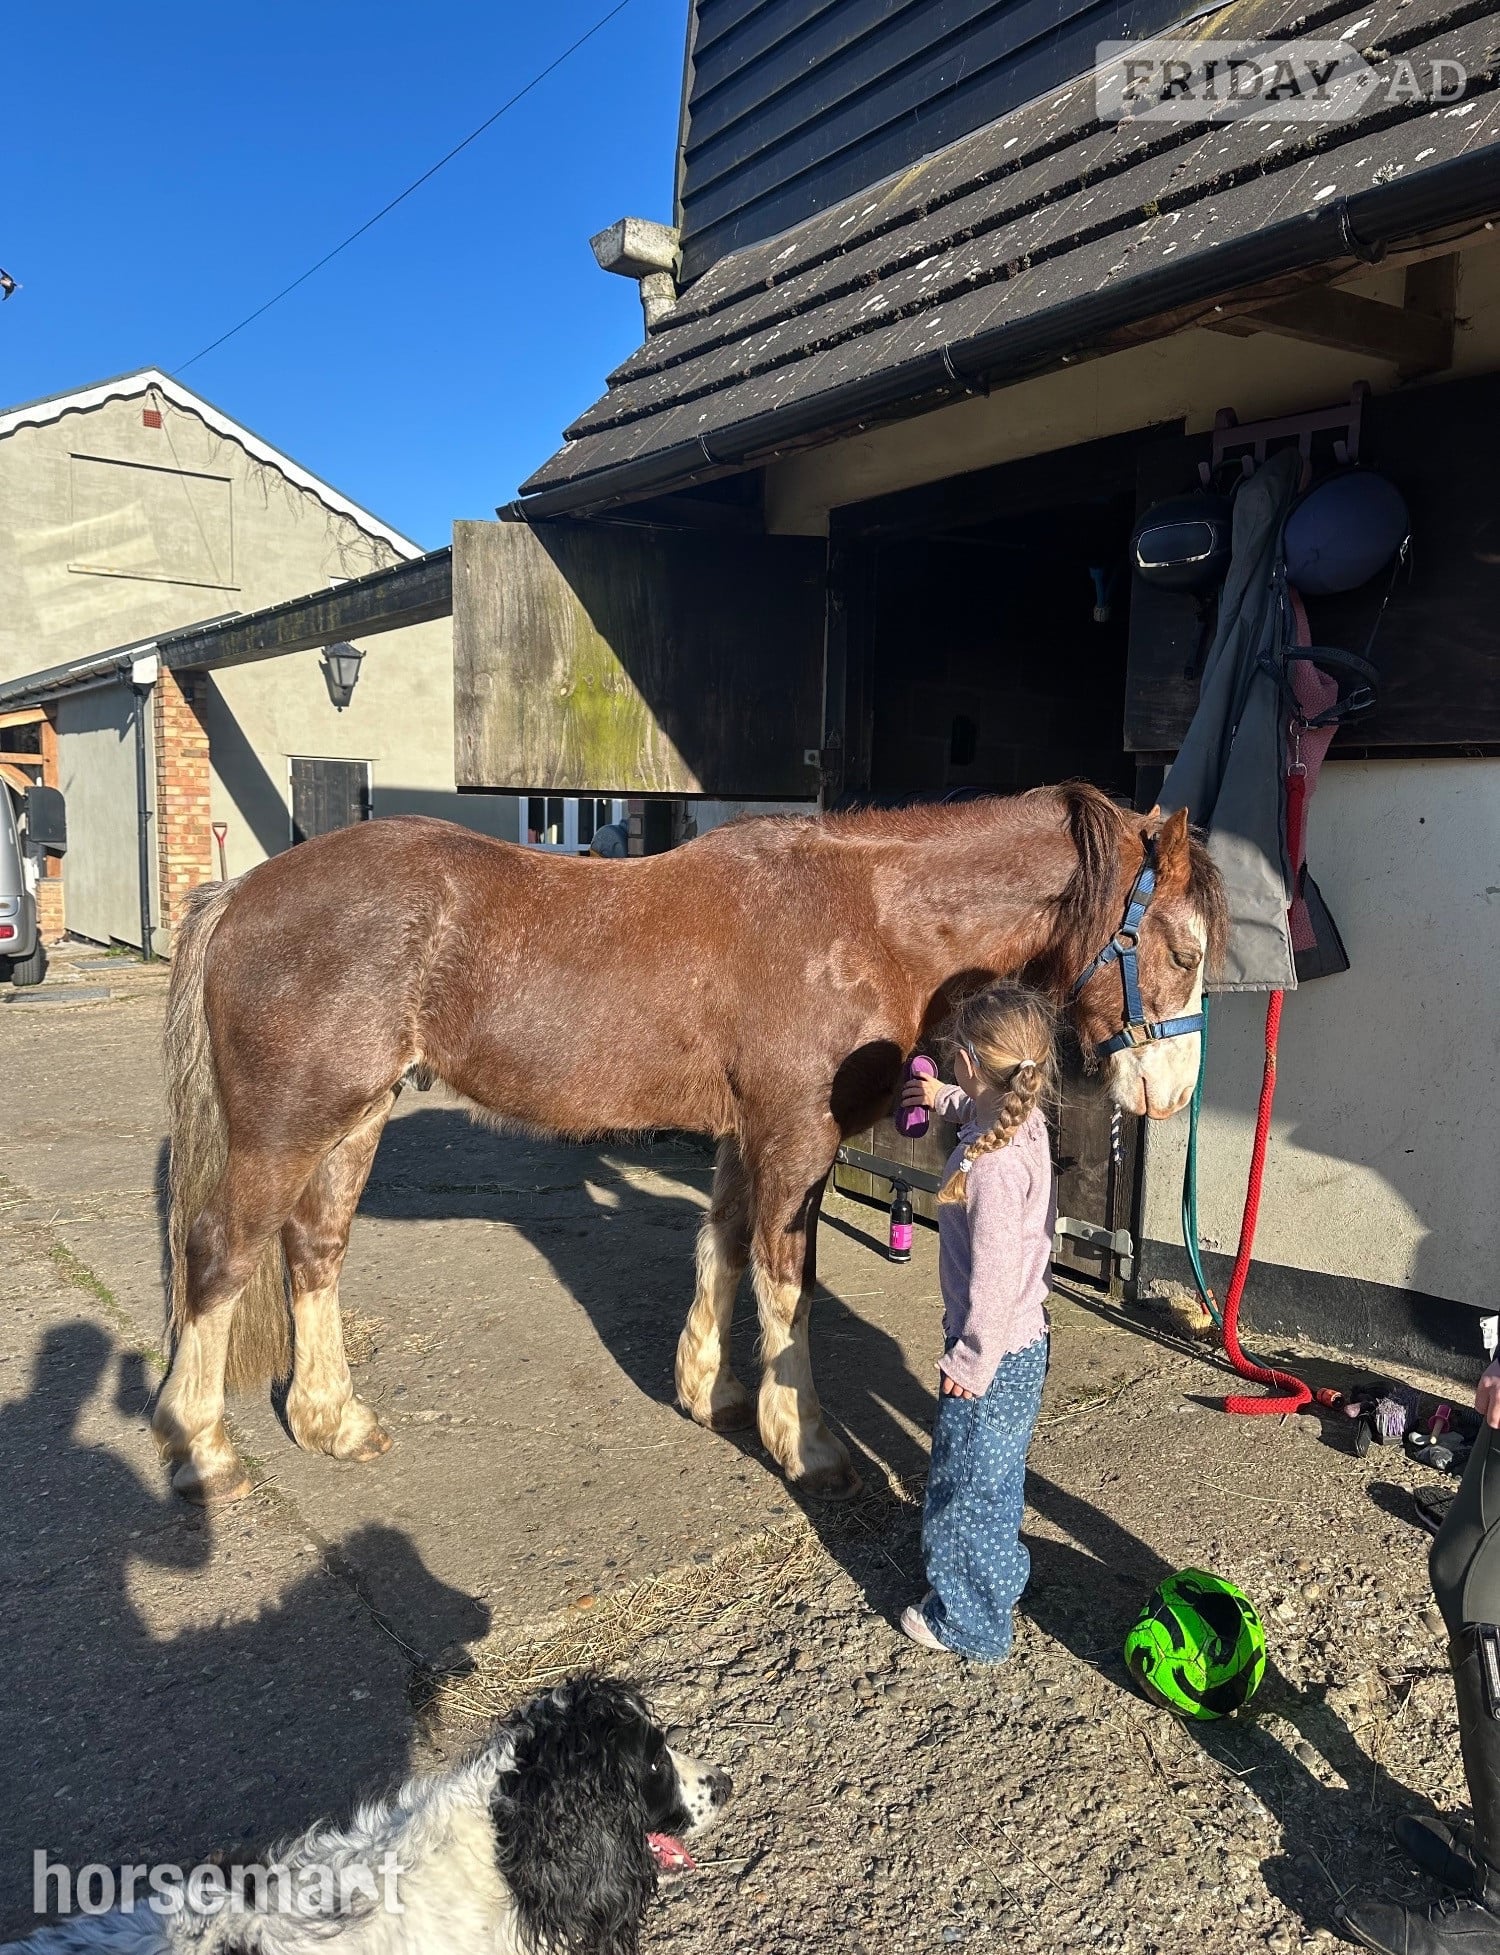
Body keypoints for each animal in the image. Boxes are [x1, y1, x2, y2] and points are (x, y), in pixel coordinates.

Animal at [151, 784, 1225, 1506]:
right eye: (1182, 949)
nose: (1171, 1092)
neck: (863, 913)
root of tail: (240, 893)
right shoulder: (797, 1136)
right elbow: (788, 1280)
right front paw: (808, 1443)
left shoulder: (746, 1136)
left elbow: (723, 1247)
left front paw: (710, 1393)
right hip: (286, 1126)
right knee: (220, 1255)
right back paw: (202, 1447)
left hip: (354, 1118)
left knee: (312, 1252)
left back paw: (333, 1421)